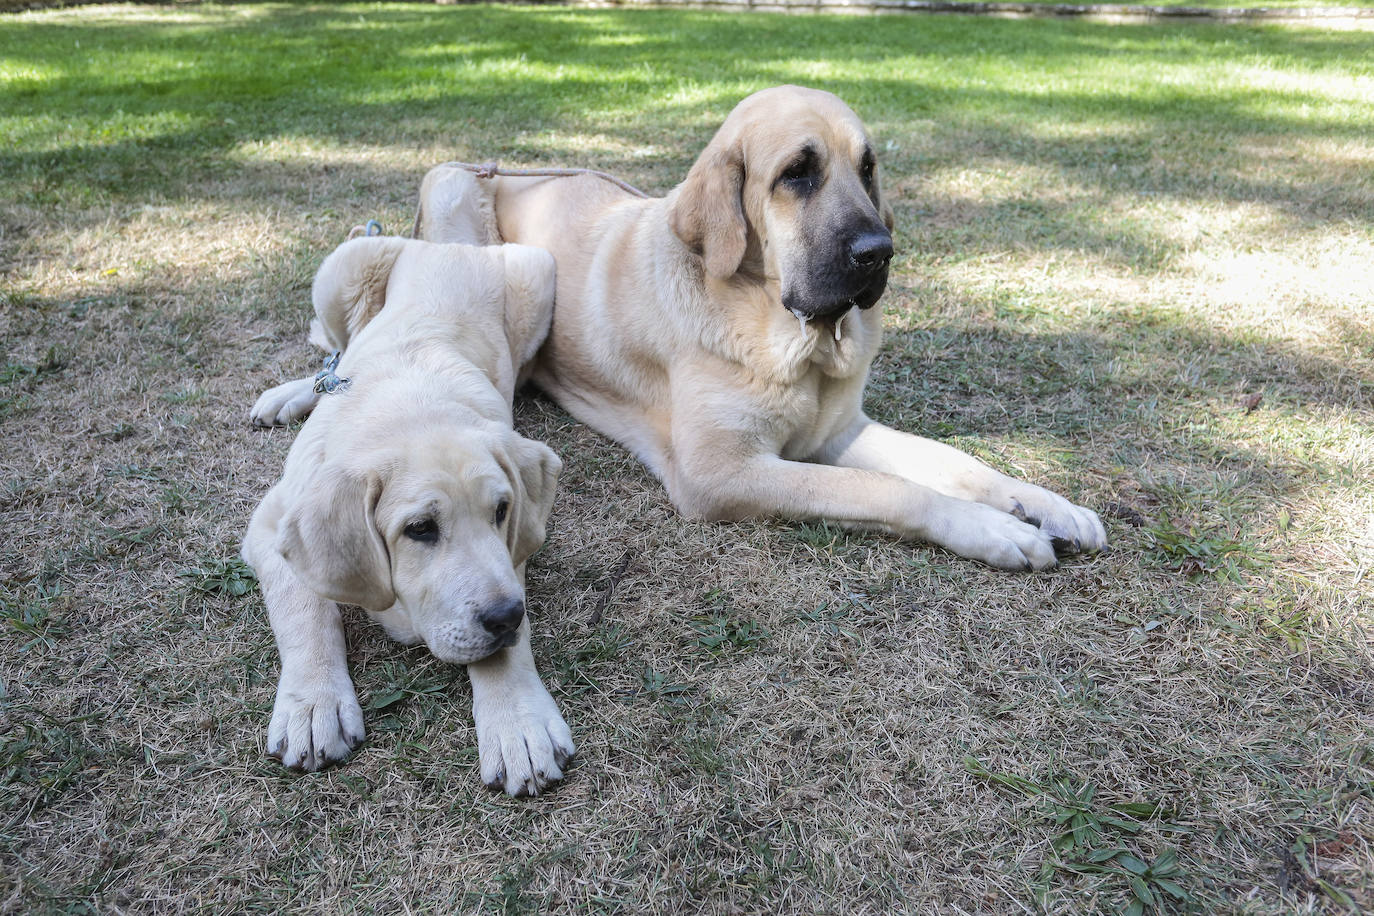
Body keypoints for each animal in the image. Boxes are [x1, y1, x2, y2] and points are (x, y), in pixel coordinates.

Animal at [241, 230, 574, 796]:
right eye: (419, 529)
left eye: (502, 510)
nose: (507, 617)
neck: (409, 406)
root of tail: (450, 242)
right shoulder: (270, 523)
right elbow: (302, 605)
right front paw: (314, 703)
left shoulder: (512, 553)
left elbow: (503, 643)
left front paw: (518, 723)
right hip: (345, 268)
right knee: (333, 357)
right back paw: (289, 395)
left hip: (539, 278)